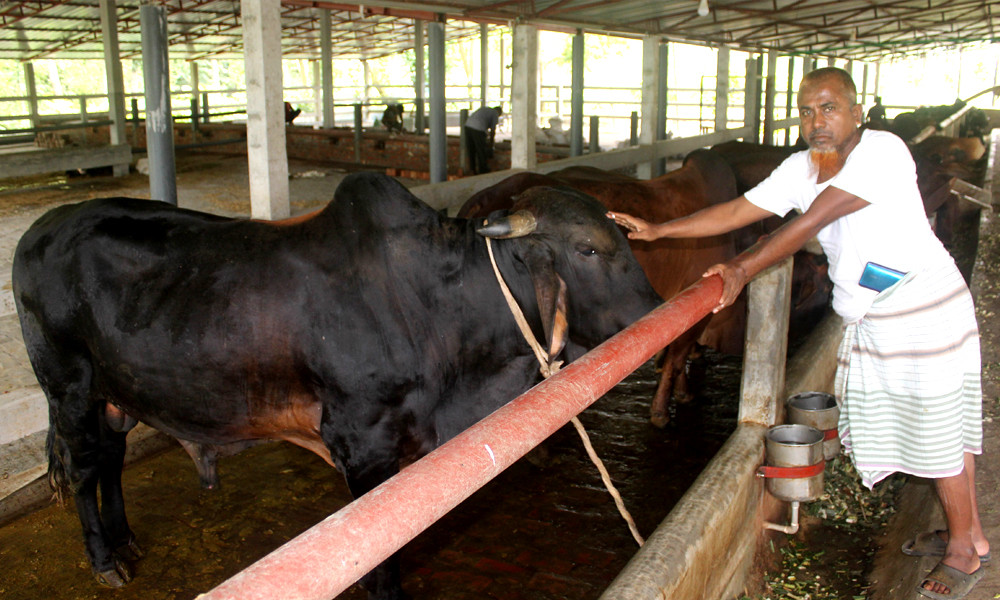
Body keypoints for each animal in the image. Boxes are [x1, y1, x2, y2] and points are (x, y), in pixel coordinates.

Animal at [11, 171, 664, 596]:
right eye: (588, 248)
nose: (658, 312)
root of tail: (43, 226)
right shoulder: (363, 449)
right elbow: (380, 571)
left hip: (116, 394)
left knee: (111, 458)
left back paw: (125, 540)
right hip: (68, 388)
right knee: (84, 466)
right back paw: (104, 559)